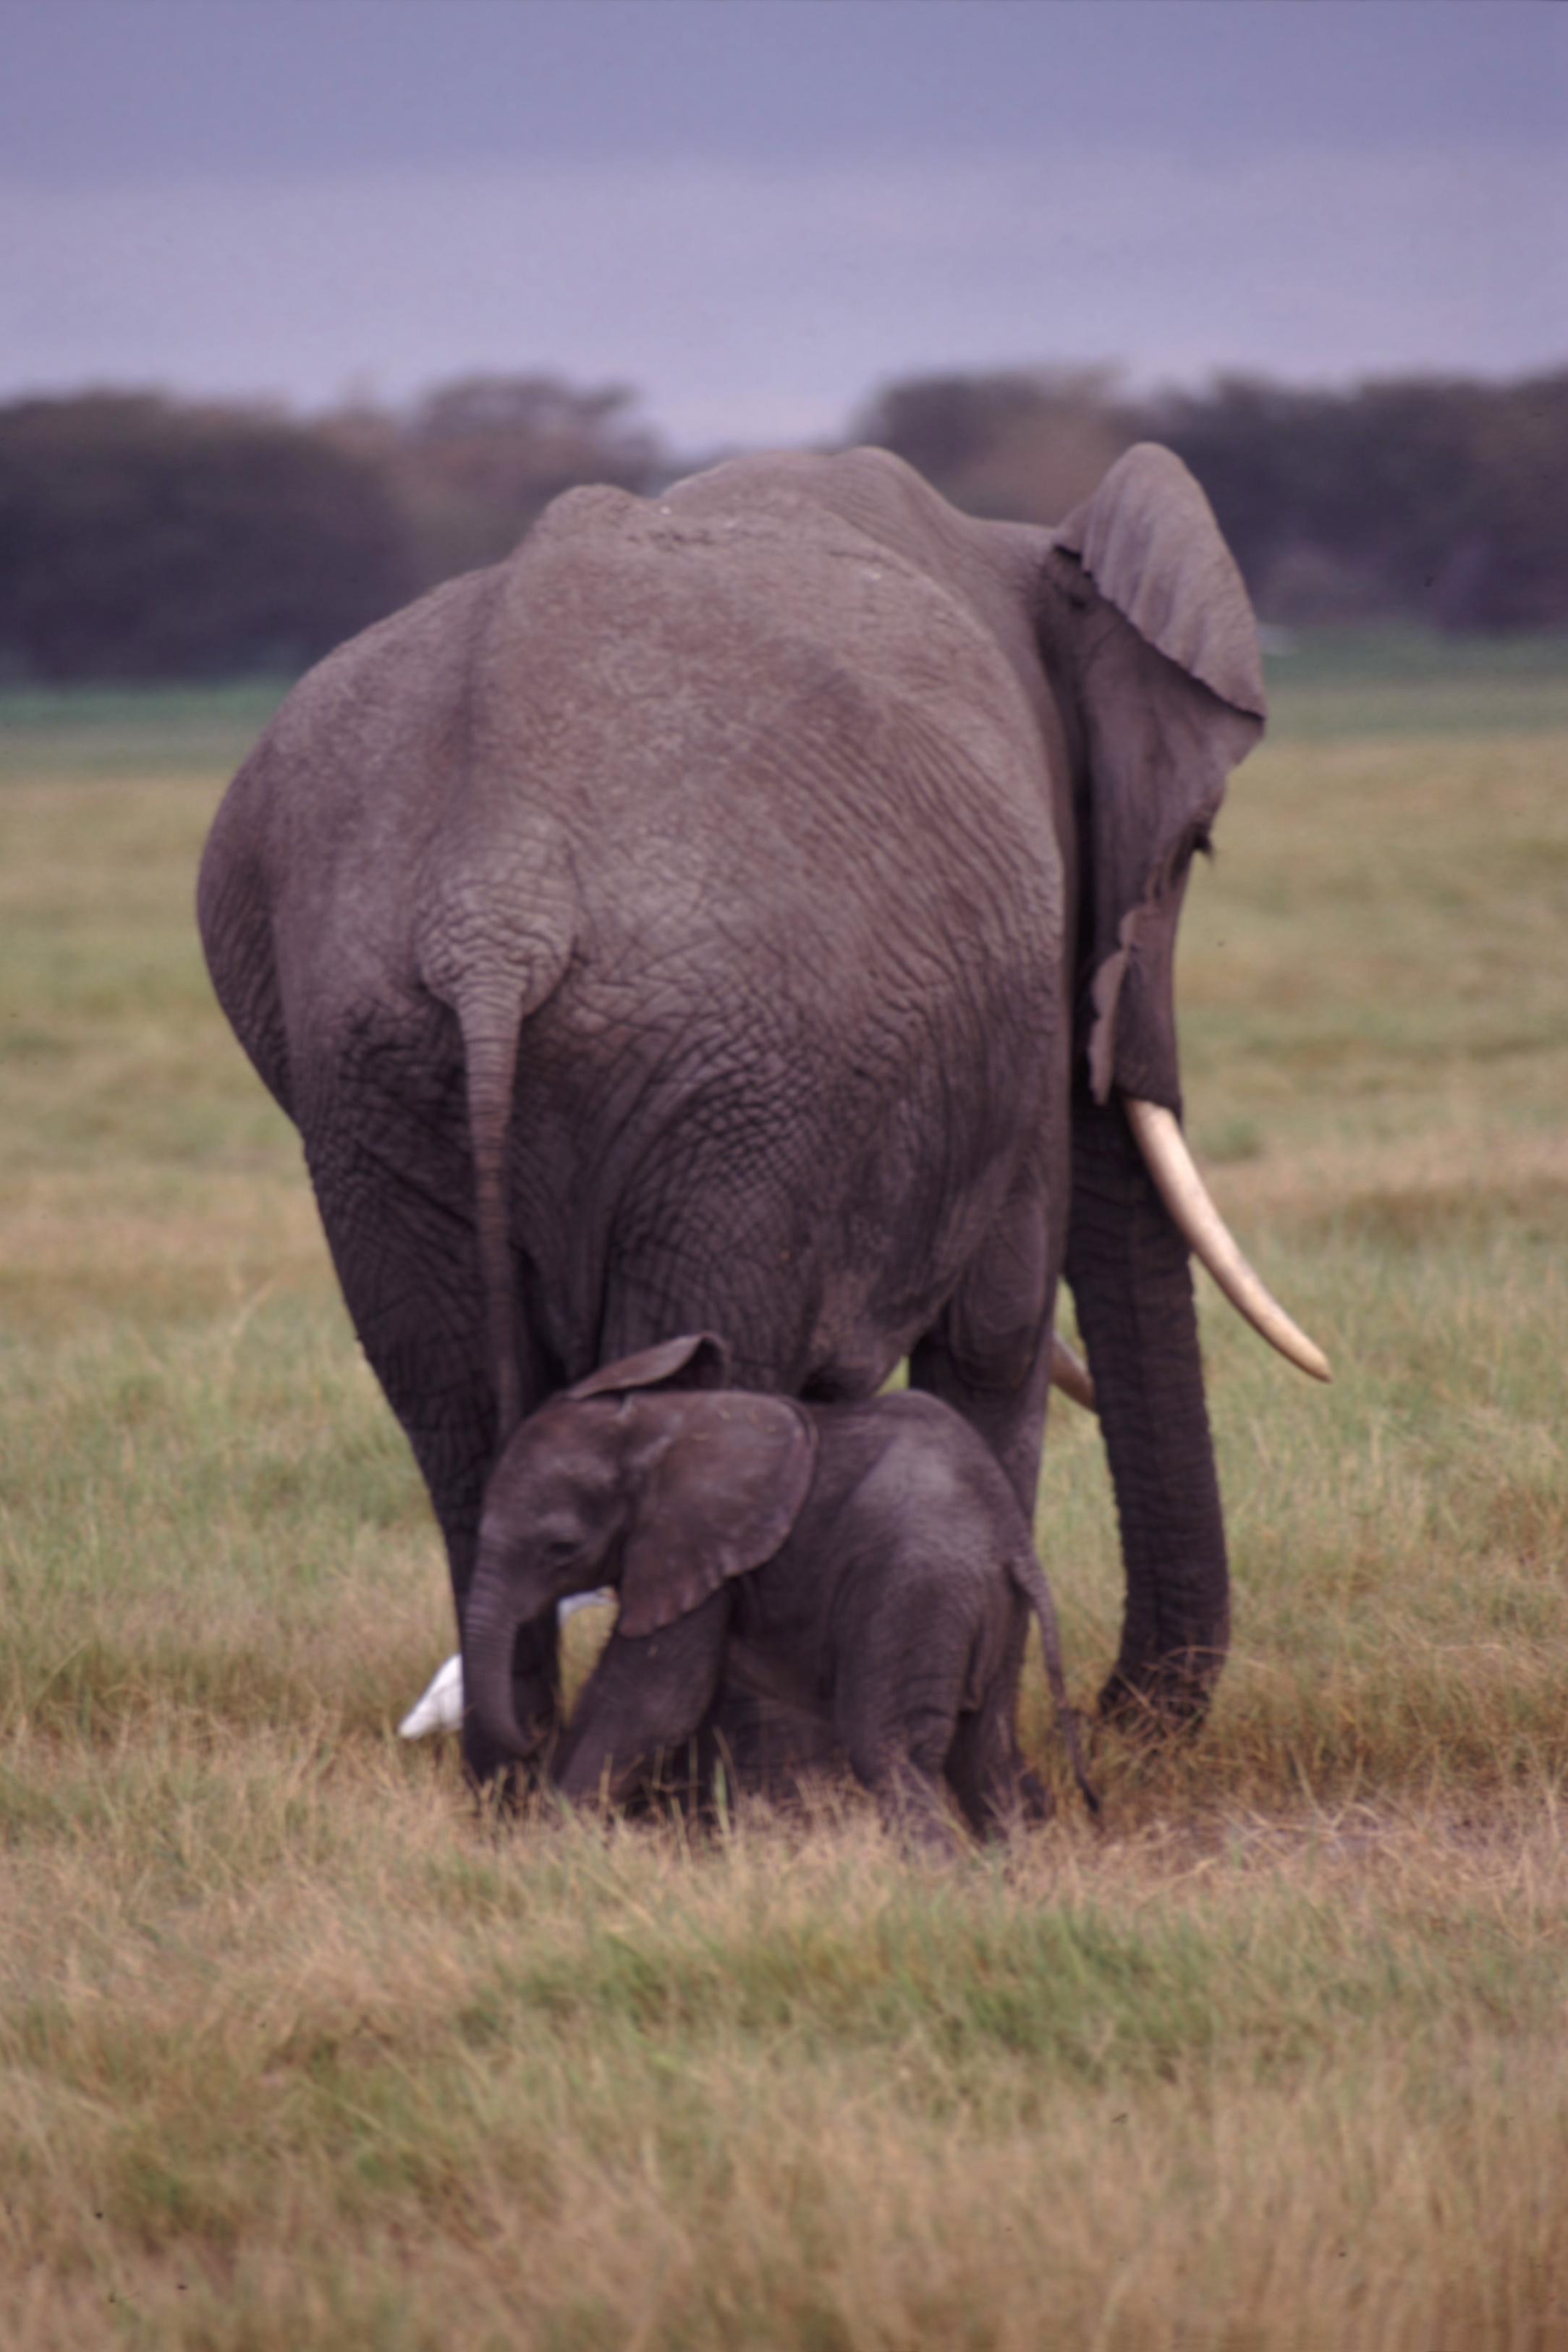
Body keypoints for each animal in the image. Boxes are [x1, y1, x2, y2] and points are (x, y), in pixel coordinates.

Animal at [192, 442, 1326, 1769]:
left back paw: (518, 1782)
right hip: (735, 1079)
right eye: (1196, 849)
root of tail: (492, 910)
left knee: (457, 1413)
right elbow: (991, 1334)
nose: (1117, 1718)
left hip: (376, 1075)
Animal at [465, 1336, 1100, 1844]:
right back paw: (1006, 1882)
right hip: (991, 1606)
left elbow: (653, 1702)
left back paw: (938, 1892)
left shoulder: (706, 1552)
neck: (659, 1426)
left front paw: (550, 1848)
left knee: (892, 1752)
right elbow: (620, 1692)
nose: (530, 1737)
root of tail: (1010, 1537)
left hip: (916, 1590)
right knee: (984, 1754)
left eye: (561, 1547)